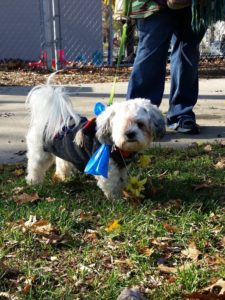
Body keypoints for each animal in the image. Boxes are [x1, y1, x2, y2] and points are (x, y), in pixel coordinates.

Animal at [25, 81, 165, 198]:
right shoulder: (107, 166)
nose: (129, 134)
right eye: (120, 124)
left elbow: (121, 180)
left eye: (140, 124)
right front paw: (116, 198)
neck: (117, 148)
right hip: (40, 153)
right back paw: (33, 182)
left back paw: (62, 177)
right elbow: (111, 184)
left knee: (62, 163)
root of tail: (50, 119)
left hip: (63, 152)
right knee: (35, 166)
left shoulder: (122, 166)